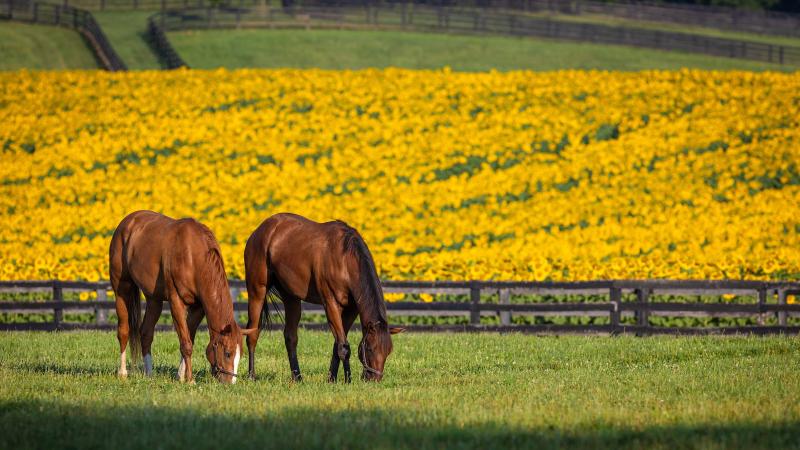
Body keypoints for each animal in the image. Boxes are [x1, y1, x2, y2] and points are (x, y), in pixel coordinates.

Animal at [110, 211, 256, 384]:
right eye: (227, 353)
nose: (230, 383)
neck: (193, 257)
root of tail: (127, 222)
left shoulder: (198, 307)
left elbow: (189, 337)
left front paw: (181, 376)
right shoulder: (176, 302)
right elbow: (186, 343)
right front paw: (190, 380)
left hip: (154, 299)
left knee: (146, 333)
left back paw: (149, 373)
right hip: (122, 289)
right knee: (123, 331)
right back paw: (122, 373)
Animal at [242, 213, 406, 382]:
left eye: (388, 351)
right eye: (370, 348)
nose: (373, 379)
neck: (345, 259)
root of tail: (262, 229)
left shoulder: (351, 310)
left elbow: (338, 344)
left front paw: (332, 379)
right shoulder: (331, 304)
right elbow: (344, 346)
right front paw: (347, 379)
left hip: (291, 297)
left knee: (290, 337)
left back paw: (297, 377)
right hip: (257, 291)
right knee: (252, 333)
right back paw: (251, 375)